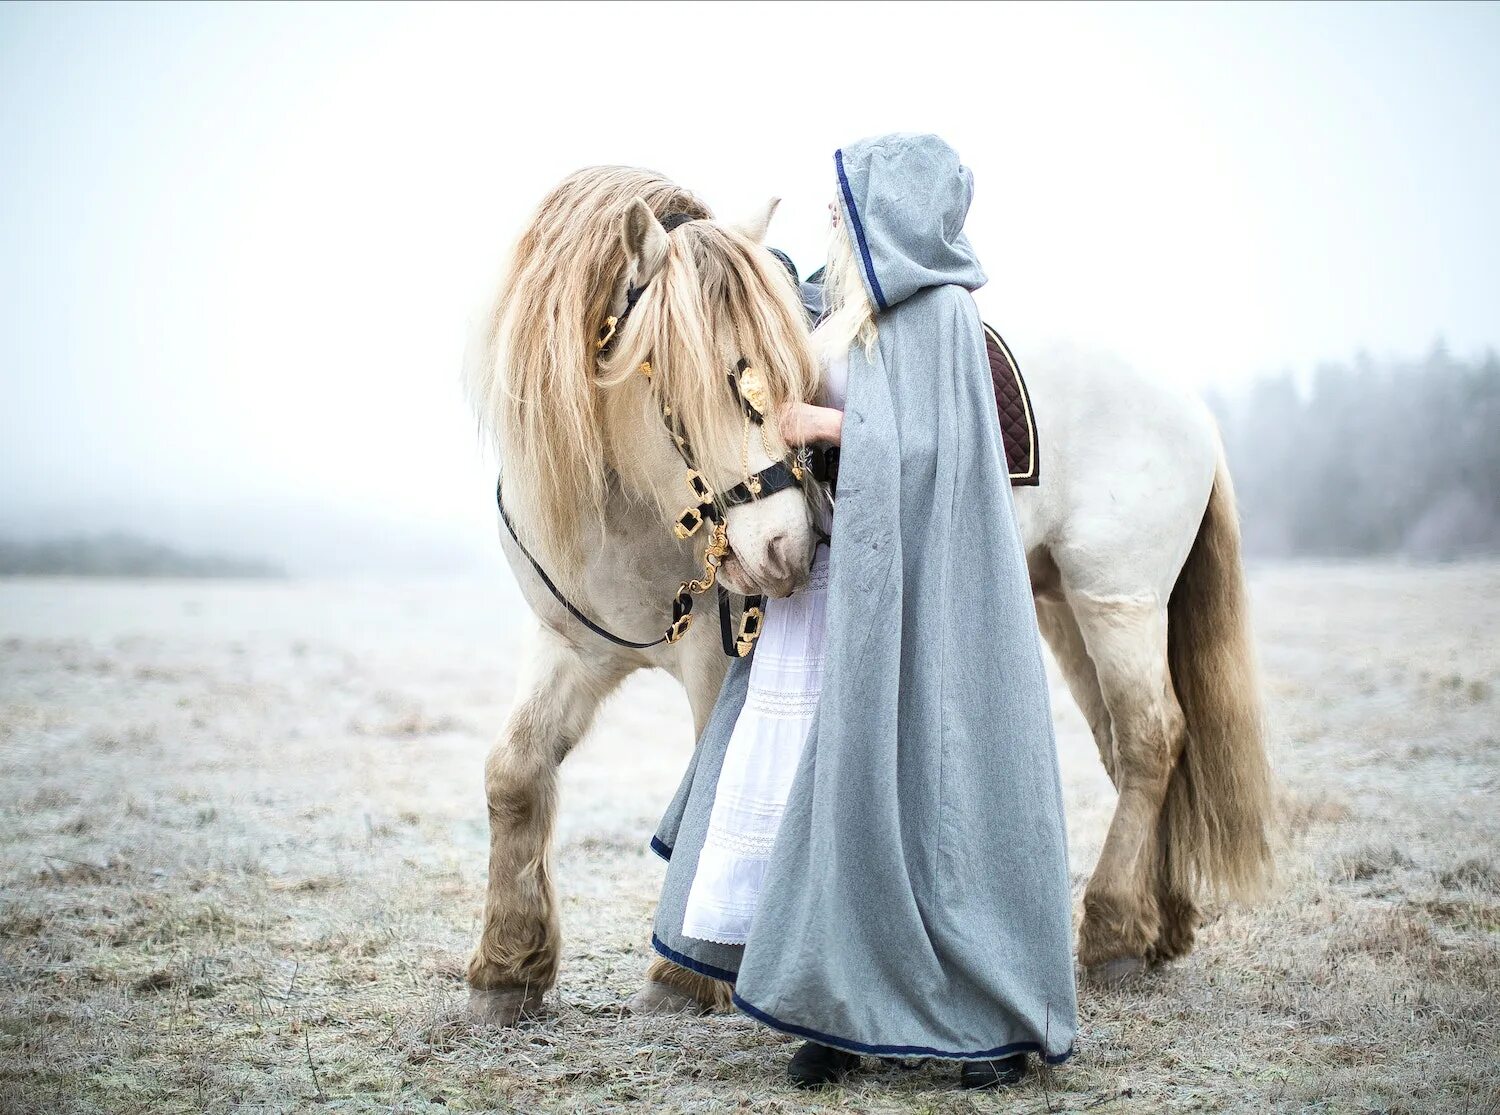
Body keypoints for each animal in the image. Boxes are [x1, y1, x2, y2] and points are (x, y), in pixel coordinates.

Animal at [462, 165, 1272, 1026]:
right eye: (679, 377)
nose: (785, 544)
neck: (625, 509)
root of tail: (1187, 404)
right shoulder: (571, 644)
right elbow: (514, 771)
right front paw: (507, 967)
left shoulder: (716, 661)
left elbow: (710, 787)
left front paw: (686, 973)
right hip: (1067, 610)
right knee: (1128, 746)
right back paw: (1156, 925)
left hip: (1120, 601)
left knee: (1153, 738)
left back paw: (1115, 928)